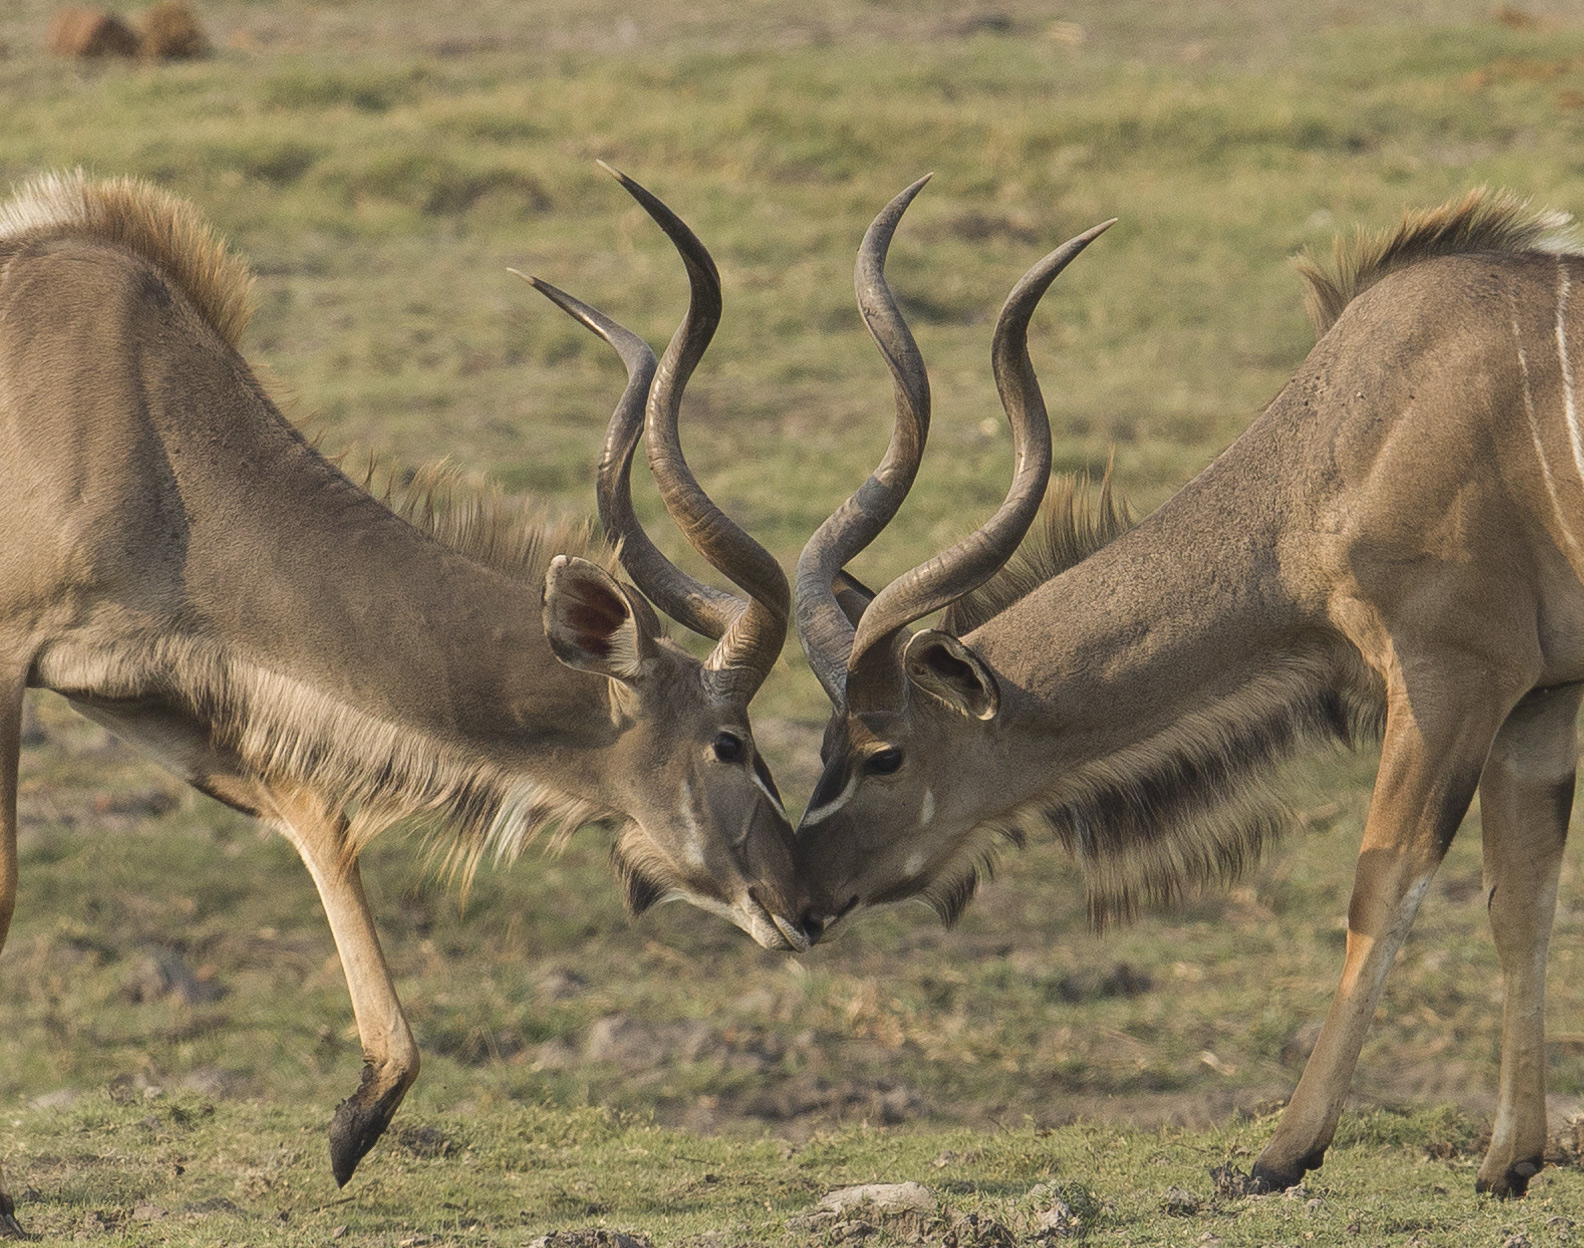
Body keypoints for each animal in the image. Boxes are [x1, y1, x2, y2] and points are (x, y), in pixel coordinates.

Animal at [0, 168, 805, 1222]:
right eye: (729, 742)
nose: (802, 902)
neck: (151, 419)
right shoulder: (12, 654)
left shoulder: (132, 687)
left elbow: (317, 819)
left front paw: (360, 1117)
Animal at [794, 180, 1584, 1198]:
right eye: (821, 745)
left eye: (883, 755)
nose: (797, 898)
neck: (1347, 437)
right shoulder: (1539, 701)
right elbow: (1520, 901)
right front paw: (1510, 1161)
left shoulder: (1451, 677)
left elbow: (1382, 889)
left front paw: (1282, 1153)